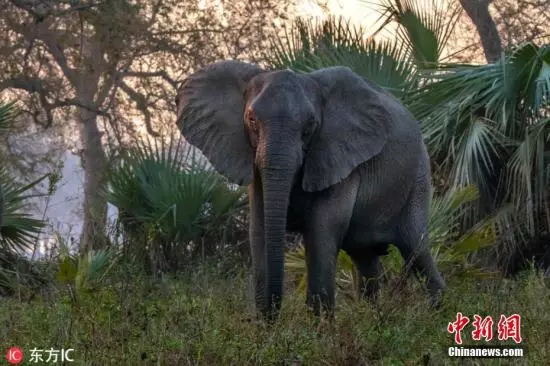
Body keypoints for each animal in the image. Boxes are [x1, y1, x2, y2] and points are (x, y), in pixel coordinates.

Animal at [177, 60, 448, 320]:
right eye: (251, 121)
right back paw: (373, 319)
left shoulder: (339, 156)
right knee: (366, 261)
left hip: (418, 178)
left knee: (416, 249)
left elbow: (322, 227)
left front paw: (319, 329)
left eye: (310, 126)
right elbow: (259, 228)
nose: (273, 319)